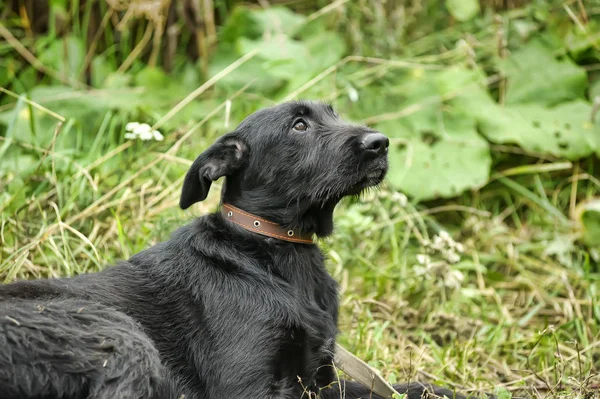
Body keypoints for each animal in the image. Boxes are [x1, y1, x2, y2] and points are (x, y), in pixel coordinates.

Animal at [0, 101, 468, 398]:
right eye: (299, 125)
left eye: (333, 114)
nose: (380, 143)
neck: (274, 250)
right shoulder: (249, 387)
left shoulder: (319, 377)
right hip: (117, 335)